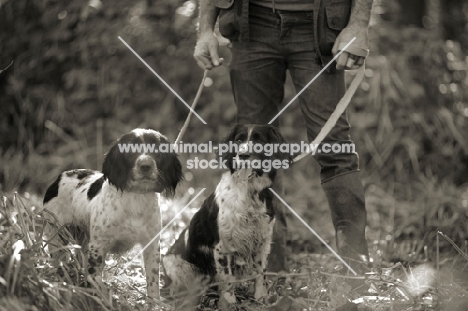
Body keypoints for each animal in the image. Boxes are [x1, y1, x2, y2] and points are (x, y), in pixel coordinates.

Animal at [41, 128, 183, 302]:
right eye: (130, 150)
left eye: (157, 150)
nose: (146, 166)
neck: (136, 198)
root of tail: (59, 178)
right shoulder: (98, 246)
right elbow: (95, 279)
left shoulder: (152, 244)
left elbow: (153, 281)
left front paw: (154, 303)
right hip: (57, 237)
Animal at [163, 123, 290, 308]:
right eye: (238, 140)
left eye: (259, 140)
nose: (243, 155)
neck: (249, 192)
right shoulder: (221, 247)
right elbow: (227, 277)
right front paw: (229, 302)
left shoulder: (262, 242)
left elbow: (260, 273)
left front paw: (261, 298)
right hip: (177, 265)